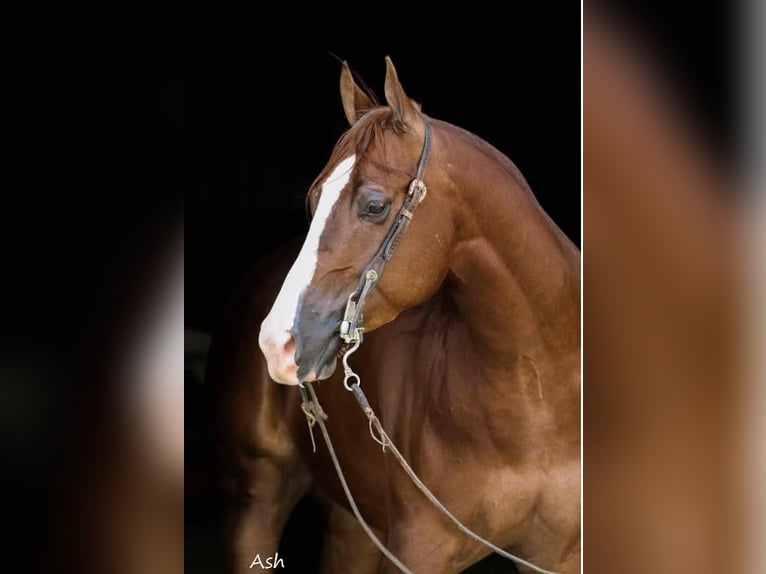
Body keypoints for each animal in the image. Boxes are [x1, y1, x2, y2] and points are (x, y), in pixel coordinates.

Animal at [210, 56, 584, 572]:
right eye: (313, 200)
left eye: (374, 205)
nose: (276, 343)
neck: (538, 395)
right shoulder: (418, 547)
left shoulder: (560, 556)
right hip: (255, 499)